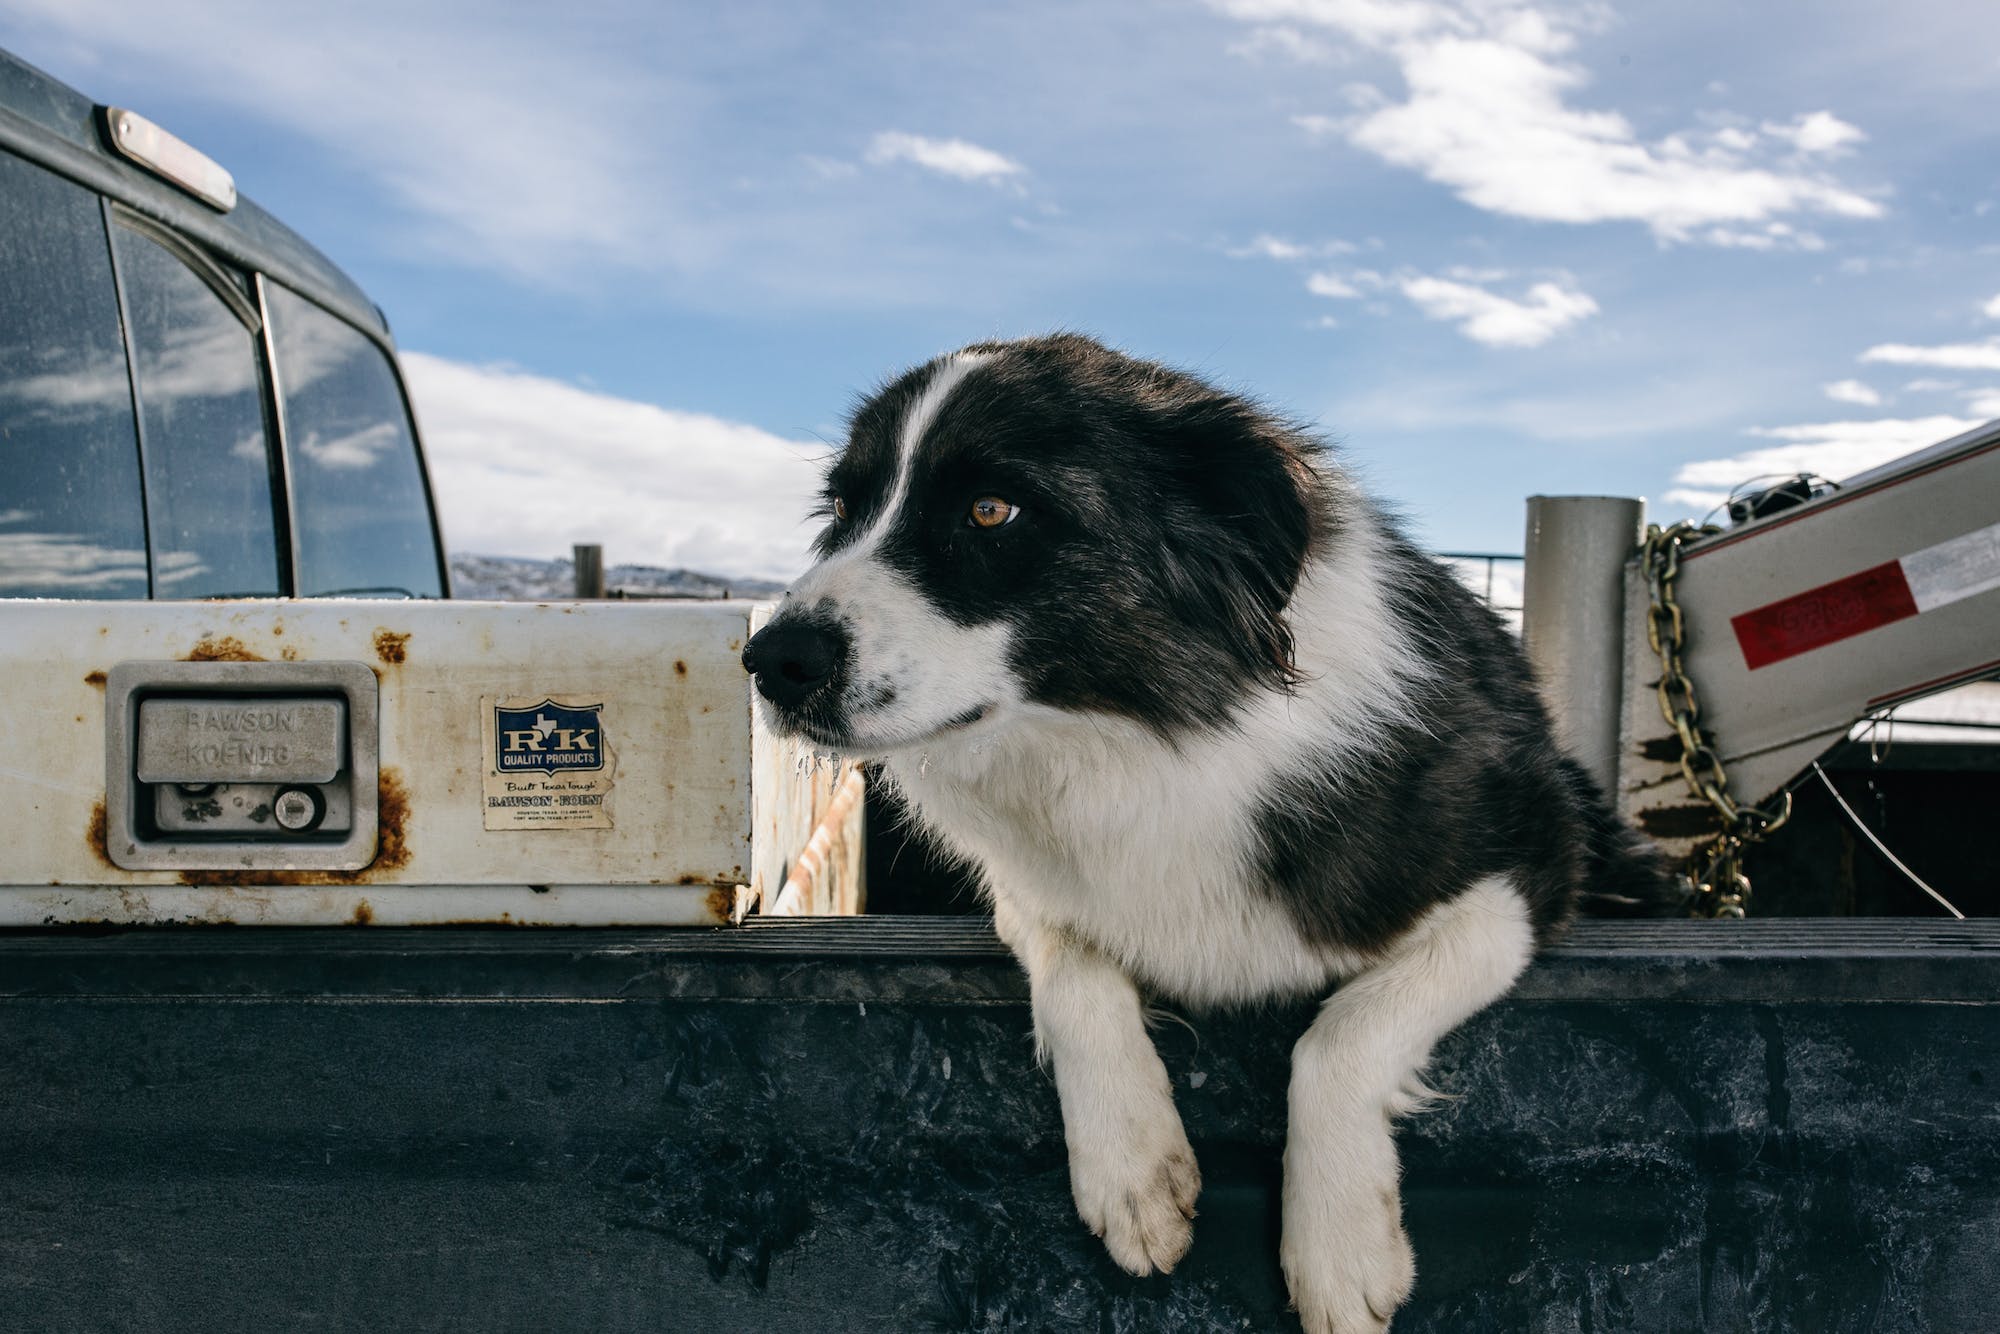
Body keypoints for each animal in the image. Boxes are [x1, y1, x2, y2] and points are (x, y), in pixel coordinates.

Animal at [744, 336, 1664, 1334]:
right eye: (844, 509)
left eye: (993, 509)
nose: (770, 661)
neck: (1137, 741)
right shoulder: (1031, 887)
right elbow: (1072, 974)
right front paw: (1131, 1167)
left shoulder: (1528, 868)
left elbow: (1340, 1036)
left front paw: (1339, 1245)